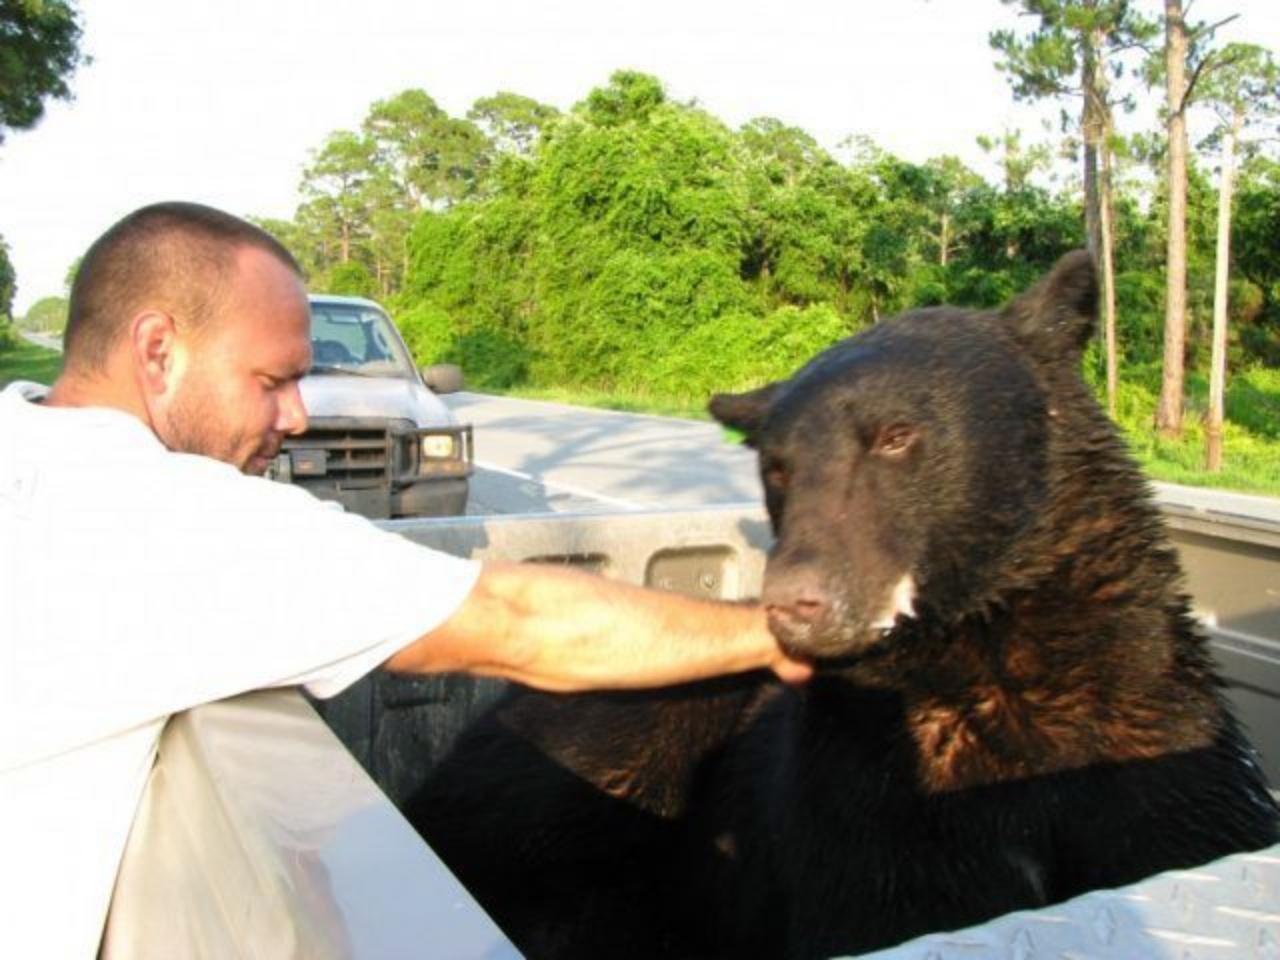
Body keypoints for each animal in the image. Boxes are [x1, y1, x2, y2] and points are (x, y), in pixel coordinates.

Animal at [407, 253, 1269, 960]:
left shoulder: (1162, 759)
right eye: (776, 466)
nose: (795, 602)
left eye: (895, 436)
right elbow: (875, 901)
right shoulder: (866, 799)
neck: (997, 670)